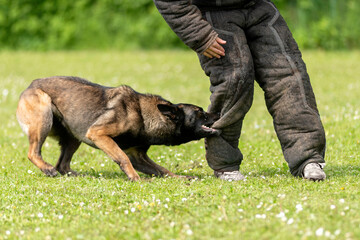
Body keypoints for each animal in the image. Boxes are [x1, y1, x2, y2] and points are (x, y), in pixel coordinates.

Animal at [16, 77, 219, 180]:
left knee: (63, 164)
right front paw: (135, 177)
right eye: (200, 112)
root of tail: (30, 85)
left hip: (75, 134)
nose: (217, 114)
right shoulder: (98, 134)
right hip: (45, 118)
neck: (143, 115)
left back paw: (77, 175)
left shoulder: (138, 156)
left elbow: (162, 169)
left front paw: (178, 177)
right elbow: (122, 158)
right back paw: (47, 169)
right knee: (33, 153)